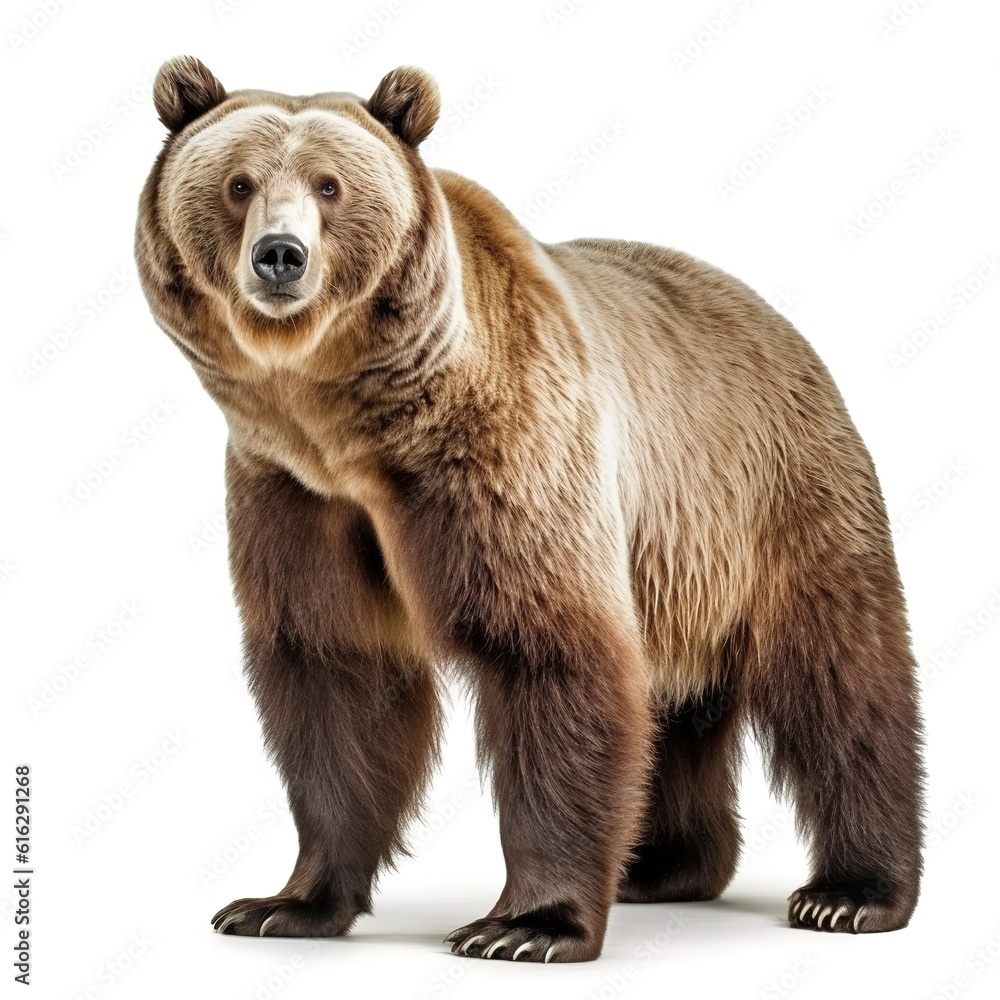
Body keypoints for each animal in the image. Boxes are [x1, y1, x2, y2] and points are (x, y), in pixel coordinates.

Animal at [135, 56, 924, 963]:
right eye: (238, 183)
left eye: (330, 185)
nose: (280, 256)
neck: (352, 427)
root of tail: (782, 324)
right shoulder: (296, 494)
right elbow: (334, 673)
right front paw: (283, 903)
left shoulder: (509, 458)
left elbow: (549, 650)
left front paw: (526, 925)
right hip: (679, 562)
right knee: (676, 705)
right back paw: (663, 865)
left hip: (772, 500)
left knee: (839, 680)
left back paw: (850, 892)